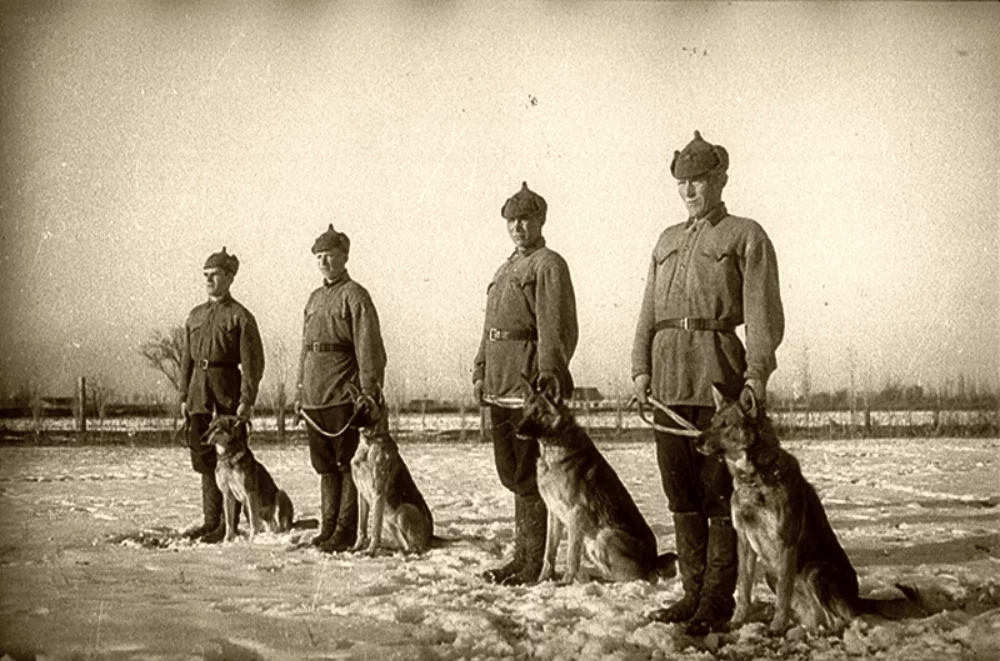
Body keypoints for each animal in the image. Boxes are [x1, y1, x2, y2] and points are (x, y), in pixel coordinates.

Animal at [204, 416, 294, 544]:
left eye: (217, 427)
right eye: (209, 426)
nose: (202, 438)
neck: (228, 457)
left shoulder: (250, 492)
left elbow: (252, 520)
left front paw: (252, 539)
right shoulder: (227, 493)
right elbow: (229, 521)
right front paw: (227, 540)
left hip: (280, 494)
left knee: (279, 525)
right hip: (247, 507)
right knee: (271, 525)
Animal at [350, 398, 432, 556]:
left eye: (366, 408)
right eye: (355, 406)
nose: (350, 421)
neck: (369, 443)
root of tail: (432, 536)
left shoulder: (378, 493)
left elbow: (375, 528)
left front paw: (370, 551)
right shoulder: (362, 495)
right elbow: (361, 527)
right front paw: (357, 547)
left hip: (403, 511)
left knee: (416, 549)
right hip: (389, 521)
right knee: (406, 544)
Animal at [516, 376, 680, 584]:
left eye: (538, 413)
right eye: (525, 411)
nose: (517, 429)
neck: (554, 446)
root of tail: (653, 562)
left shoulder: (575, 514)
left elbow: (571, 555)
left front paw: (565, 583)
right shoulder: (554, 513)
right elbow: (549, 552)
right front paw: (543, 580)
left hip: (605, 535)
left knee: (629, 578)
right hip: (591, 543)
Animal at [696, 386, 920, 636]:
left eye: (726, 424)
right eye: (712, 422)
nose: (696, 440)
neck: (754, 479)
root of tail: (856, 598)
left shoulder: (786, 544)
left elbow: (783, 595)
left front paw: (777, 627)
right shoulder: (744, 542)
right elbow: (744, 589)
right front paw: (737, 622)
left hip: (815, 570)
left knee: (846, 619)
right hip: (772, 575)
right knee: (822, 617)